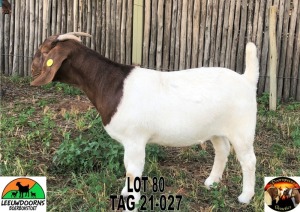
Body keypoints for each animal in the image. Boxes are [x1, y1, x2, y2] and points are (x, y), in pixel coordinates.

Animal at [30, 32, 258, 208]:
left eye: (42, 51)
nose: (31, 68)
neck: (110, 84)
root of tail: (246, 80)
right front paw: (125, 193)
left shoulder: (134, 140)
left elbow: (132, 170)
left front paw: (131, 199)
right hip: (217, 129)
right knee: (222, 150)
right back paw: (212, 182)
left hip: (242, 129)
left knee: (248, 160)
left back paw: (245, 197)